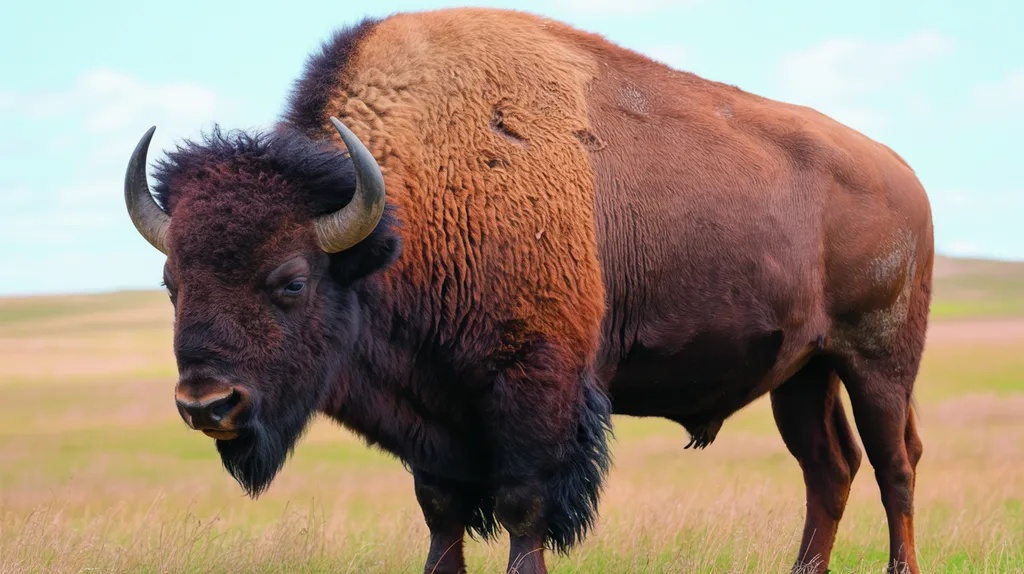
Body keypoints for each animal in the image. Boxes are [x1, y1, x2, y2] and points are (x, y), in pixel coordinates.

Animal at [123, 8, 933, 574]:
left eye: (290, 281)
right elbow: (442, 517)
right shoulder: (436, 423)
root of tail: (904, 175)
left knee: (894, 466)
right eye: (171, 282)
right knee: (828, 470)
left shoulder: (534, 390)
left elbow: (523, 510)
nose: (207, 405)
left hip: (878, 363)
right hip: (802, 373)